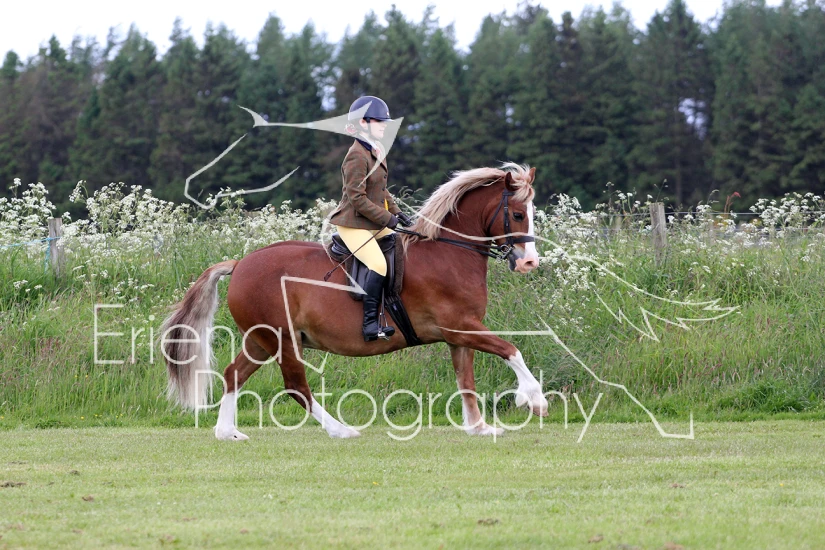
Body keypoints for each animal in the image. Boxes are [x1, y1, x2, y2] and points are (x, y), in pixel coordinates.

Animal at [159, 162, 545, 440]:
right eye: (517, 214)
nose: (530, 263)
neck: (447, 253)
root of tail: (240, 264)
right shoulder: (461, 327)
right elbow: (511, 349)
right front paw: (533, 399)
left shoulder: (459, 334)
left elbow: (466, 380)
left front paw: (479, 427)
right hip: (283, 340)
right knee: (296, 387)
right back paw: (340, 430)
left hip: (261, 339)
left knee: (234, 375)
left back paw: (227, 433)